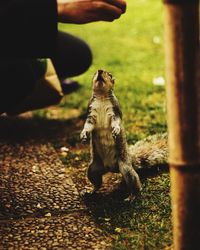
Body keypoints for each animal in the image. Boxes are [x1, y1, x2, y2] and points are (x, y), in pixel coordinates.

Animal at [80, 69, 168, 200]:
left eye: (110, 74)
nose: (100, 71)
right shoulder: (91, 113)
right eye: (95, 72)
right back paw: (90, 191)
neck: (101, 97)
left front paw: (116, 129)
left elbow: (116, 121)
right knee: (97, 183)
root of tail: (109, 168)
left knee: (134, 182)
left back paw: (133, 196)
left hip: (125, 169)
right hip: (93, 169)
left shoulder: (115, 111)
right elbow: (88, 125)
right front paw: (83, 134)